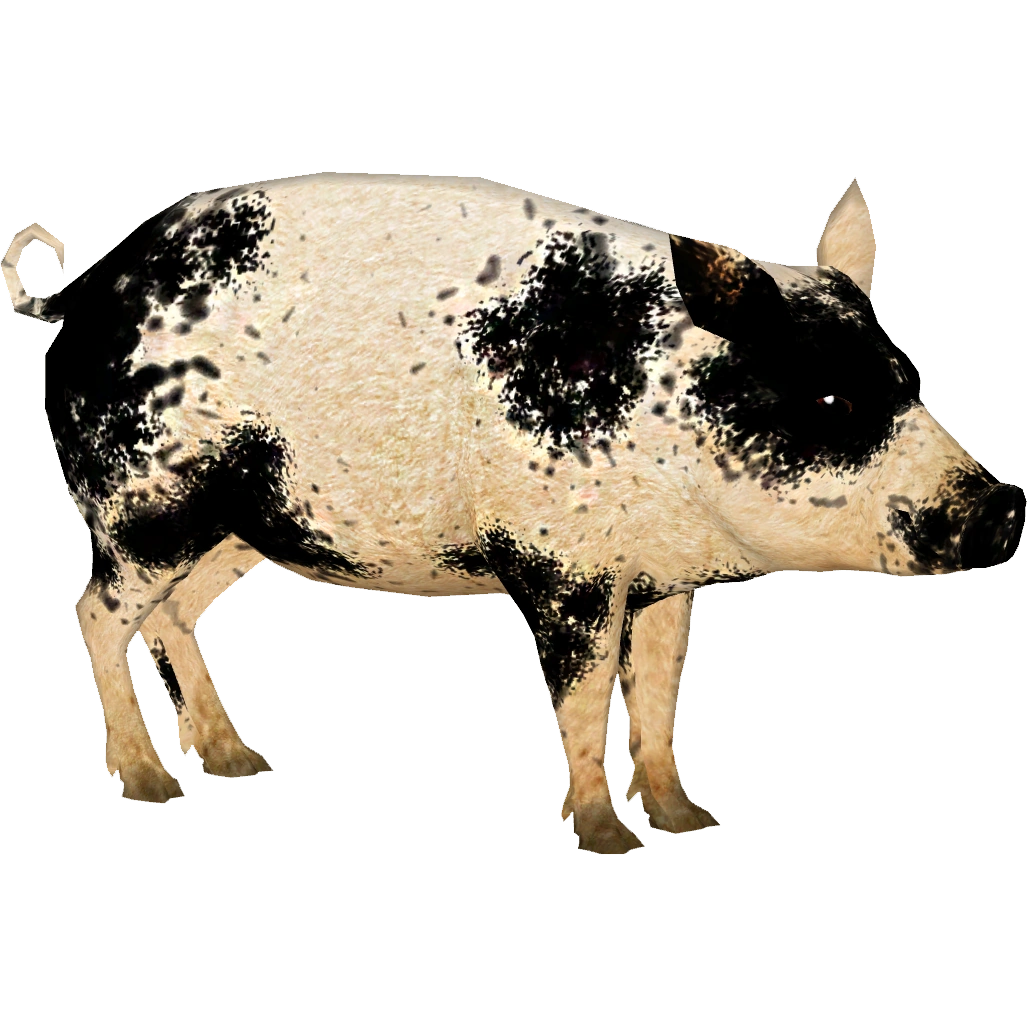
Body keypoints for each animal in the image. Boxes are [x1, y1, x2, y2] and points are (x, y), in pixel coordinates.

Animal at [5, 172, 1023, 854]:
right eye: (827, 401)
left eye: (908, 381)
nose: (1006, 505)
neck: (657, 419)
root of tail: (79, 290)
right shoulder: (557, 562)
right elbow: (584, 696)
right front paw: (607, 839)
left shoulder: (664, 579)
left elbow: (659, 691)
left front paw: (691, 822)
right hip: (144, 501)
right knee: (93, 611)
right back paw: (152, 788)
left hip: (237, 529)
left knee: (172, 616)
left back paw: (240, 763)